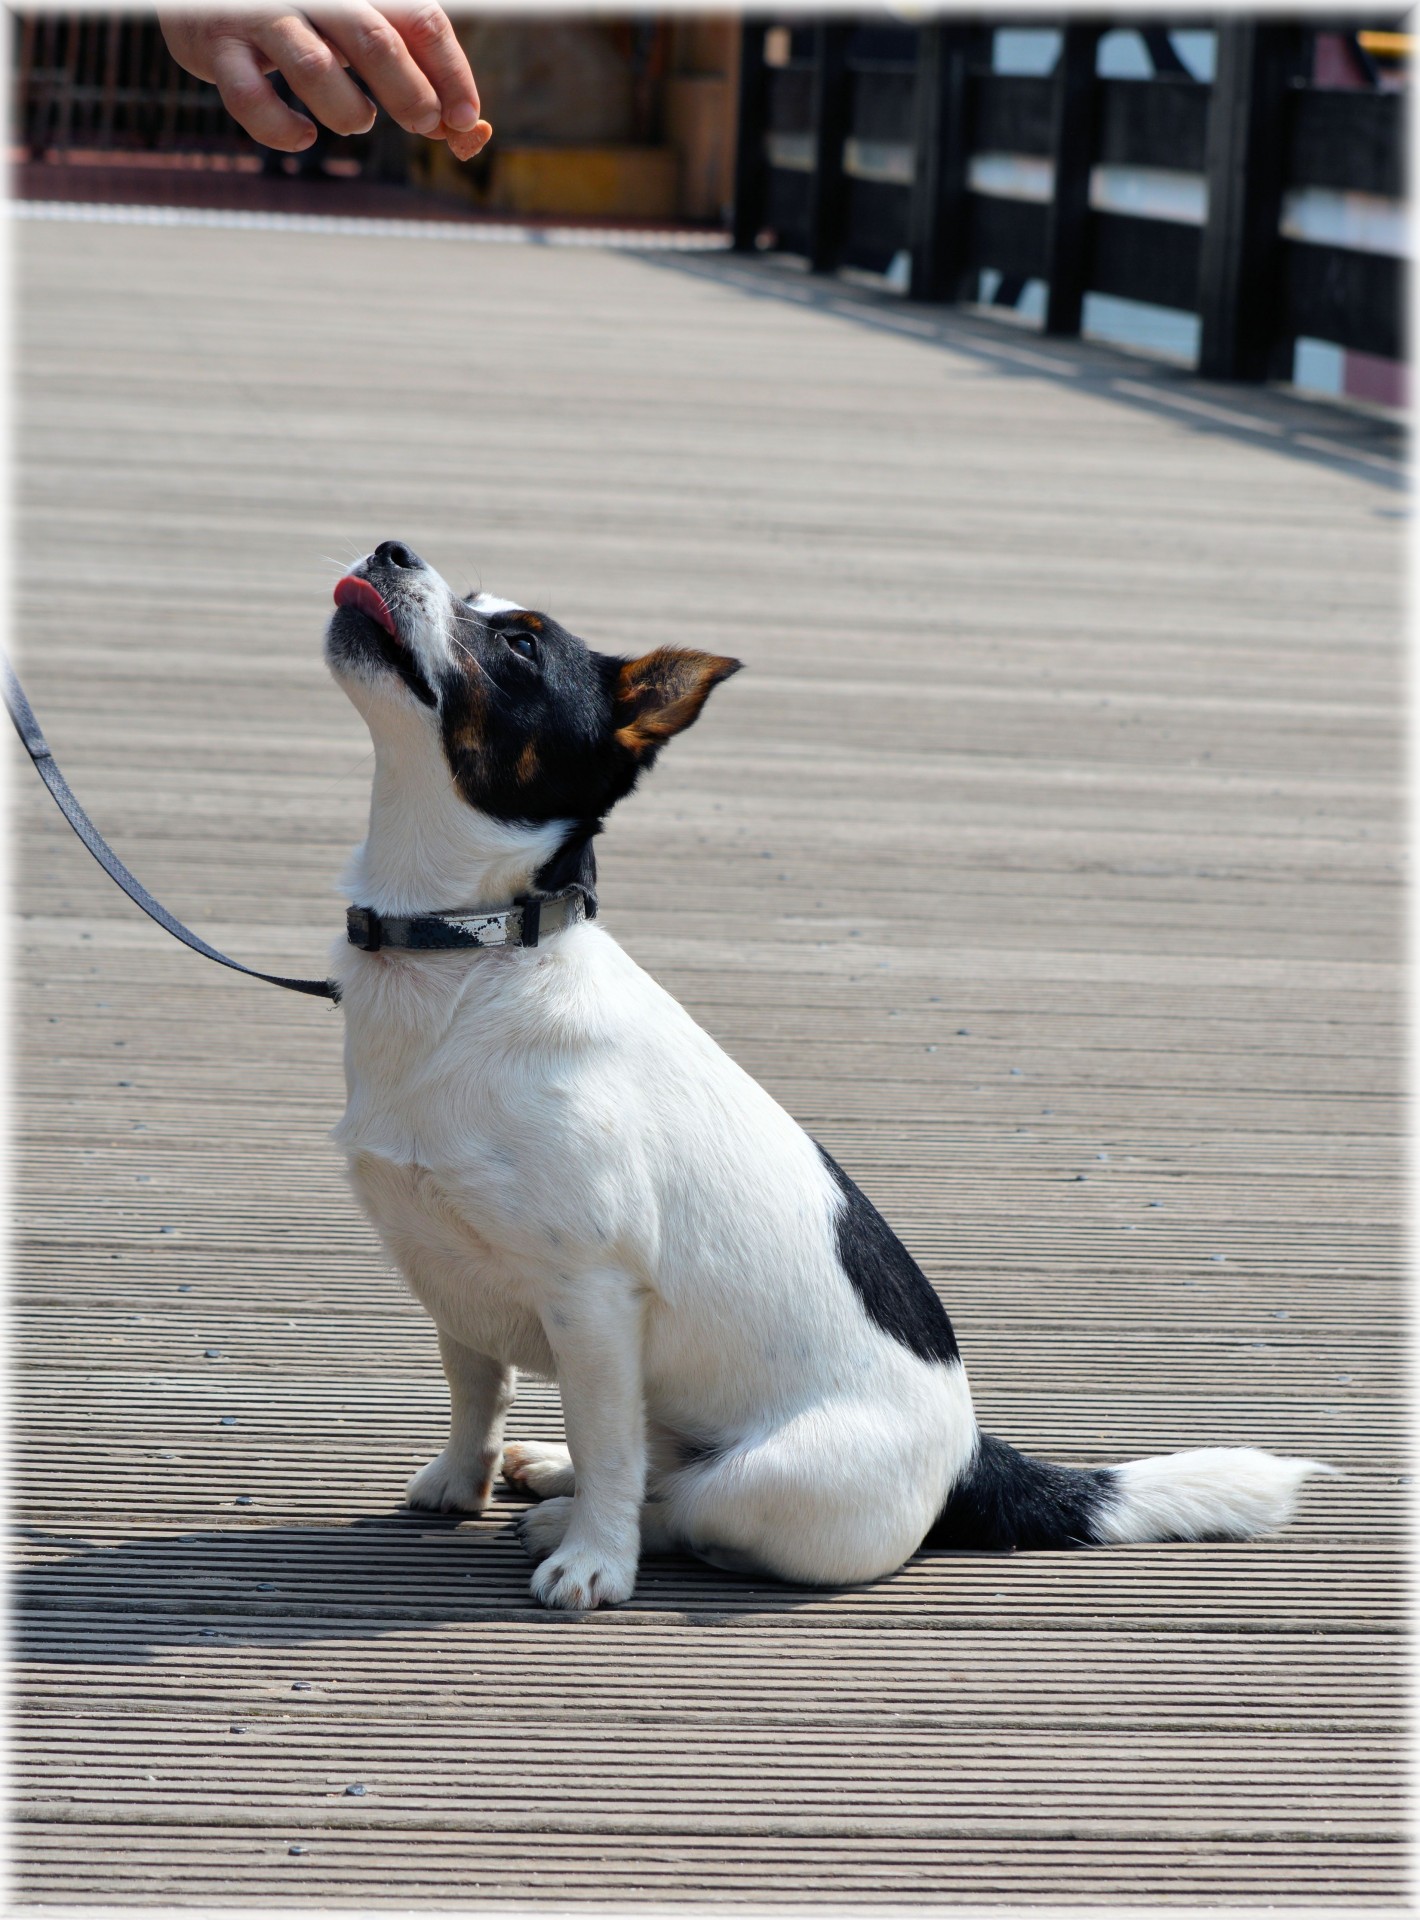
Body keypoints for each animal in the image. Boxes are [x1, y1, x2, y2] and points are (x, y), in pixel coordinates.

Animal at [324, 549, 1327, 1612]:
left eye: (518, 643)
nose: (391, 550)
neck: (467, 955)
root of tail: (973, 1459)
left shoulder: (591, 1293)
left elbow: (605, 1440)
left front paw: (594, 1559)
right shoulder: (448, 1272)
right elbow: (479, 1389)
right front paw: (457, 1481)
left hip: (770, 1476)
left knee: (679, 1500)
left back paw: (574, 1517)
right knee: (650, 1458)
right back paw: (551, 1472)